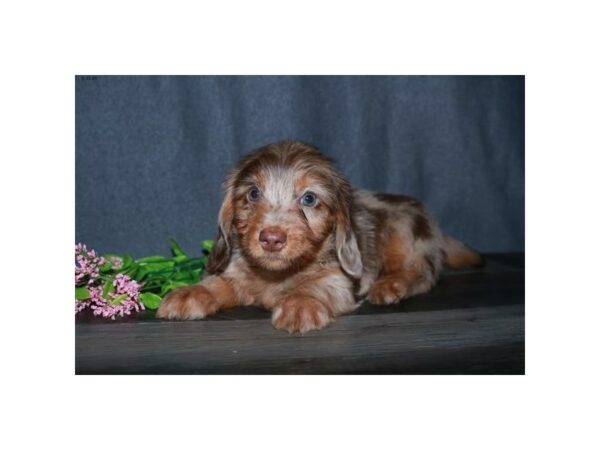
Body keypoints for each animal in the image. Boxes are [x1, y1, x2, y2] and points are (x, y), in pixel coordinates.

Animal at [156, 141, 482, 334]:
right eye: (253, 193)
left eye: (309, 199)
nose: (271, 238)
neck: (277, 275)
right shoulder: (236, 275)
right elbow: (217, 283)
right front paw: (190, 292)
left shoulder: (339, 281)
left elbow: (318, 286)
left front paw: (300, 302)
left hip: (405, 235)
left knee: (424, 274)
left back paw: (391, 285)